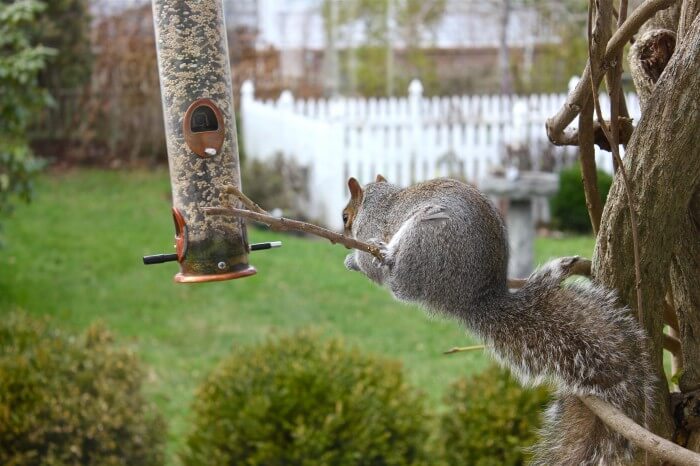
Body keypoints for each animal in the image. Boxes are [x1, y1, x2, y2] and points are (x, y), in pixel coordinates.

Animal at [342, 175, 654, 466]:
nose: (343, 234)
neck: (379, 200)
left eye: (345, 216)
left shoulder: (371, 226)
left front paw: (355, 260)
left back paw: (388, 258)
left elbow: (370, 265)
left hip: (424, 239)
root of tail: (471, 300)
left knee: (399, 283)